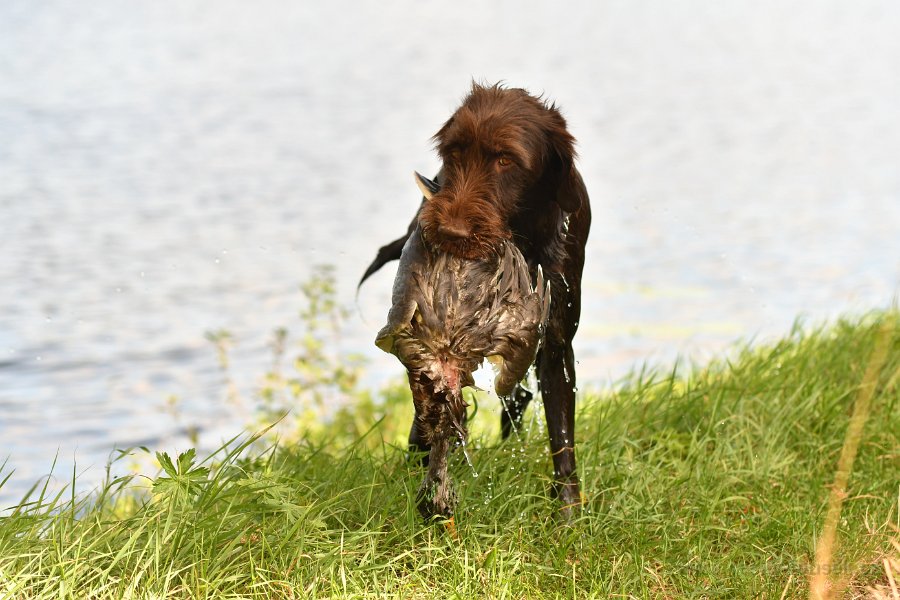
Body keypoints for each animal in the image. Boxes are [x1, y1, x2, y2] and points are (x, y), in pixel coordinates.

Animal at [358, 83, 592, 516]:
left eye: (506, 160)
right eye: (454, 153)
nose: (450, 232)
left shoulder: (555, 343)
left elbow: (562, 437)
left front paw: (568, 515)